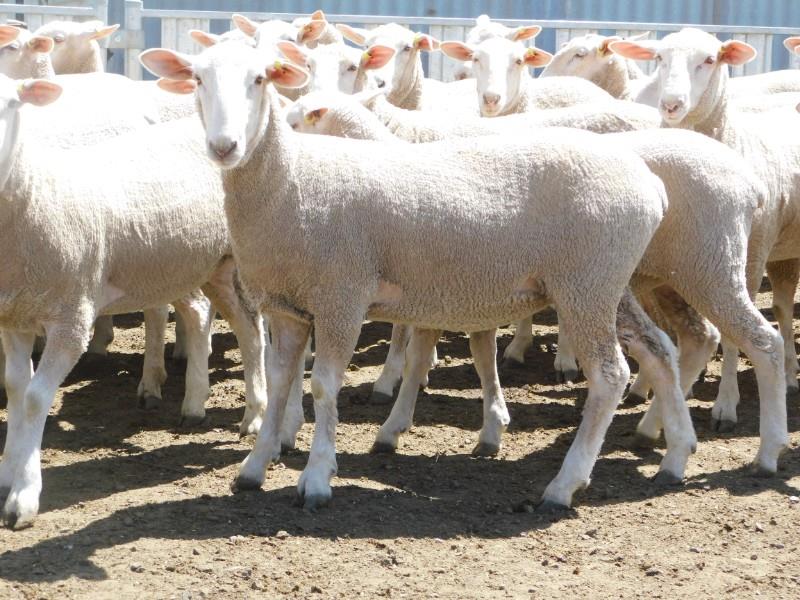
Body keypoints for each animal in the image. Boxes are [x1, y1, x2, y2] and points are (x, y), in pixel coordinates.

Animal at [0, 75, 293, 529]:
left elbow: (34, 399)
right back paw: (237, 410)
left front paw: (24, 495)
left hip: (243, 259)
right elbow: (15, 389)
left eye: (12, 104)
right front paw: (7, 472)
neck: (37, 191)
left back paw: (254, 417)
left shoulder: (71, 318)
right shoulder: (14, 317)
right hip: (213, 265)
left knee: (253, 330)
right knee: (243, 328)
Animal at [282, 89, 781, 472]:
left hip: (707, 266)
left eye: (295, 119)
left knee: (759, 341)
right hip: (660, 282)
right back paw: (657, 432)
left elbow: (433, 354)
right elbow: (456, 353)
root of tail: (749, 180)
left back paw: (764, 449)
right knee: (694, 339)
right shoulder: (455, 290)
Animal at [610, 28, 799, 438]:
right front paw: (650, 388)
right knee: (782, 306)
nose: (671, 104)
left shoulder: (747, 259)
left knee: (779, 310)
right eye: (659, 58)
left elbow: (728, 336)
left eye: (710, 60)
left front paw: (725, 403)